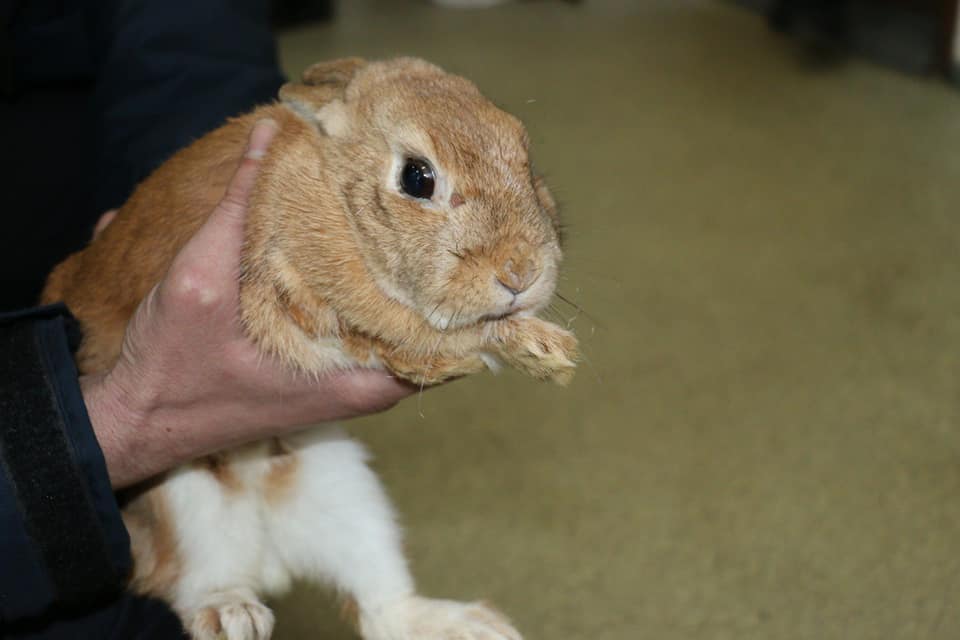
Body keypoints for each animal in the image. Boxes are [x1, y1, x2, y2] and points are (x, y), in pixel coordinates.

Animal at [45, 57, 576, 636]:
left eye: (525, 157)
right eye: (417, 177)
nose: (520, 271)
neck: (336, 191)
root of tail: (271, 560)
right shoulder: (297, 287)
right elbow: (411, 330)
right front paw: (542, 349)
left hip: (348, 494)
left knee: (380, 603)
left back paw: (471, 624)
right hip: (181, 509)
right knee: (190, 580)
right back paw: (233, 614)